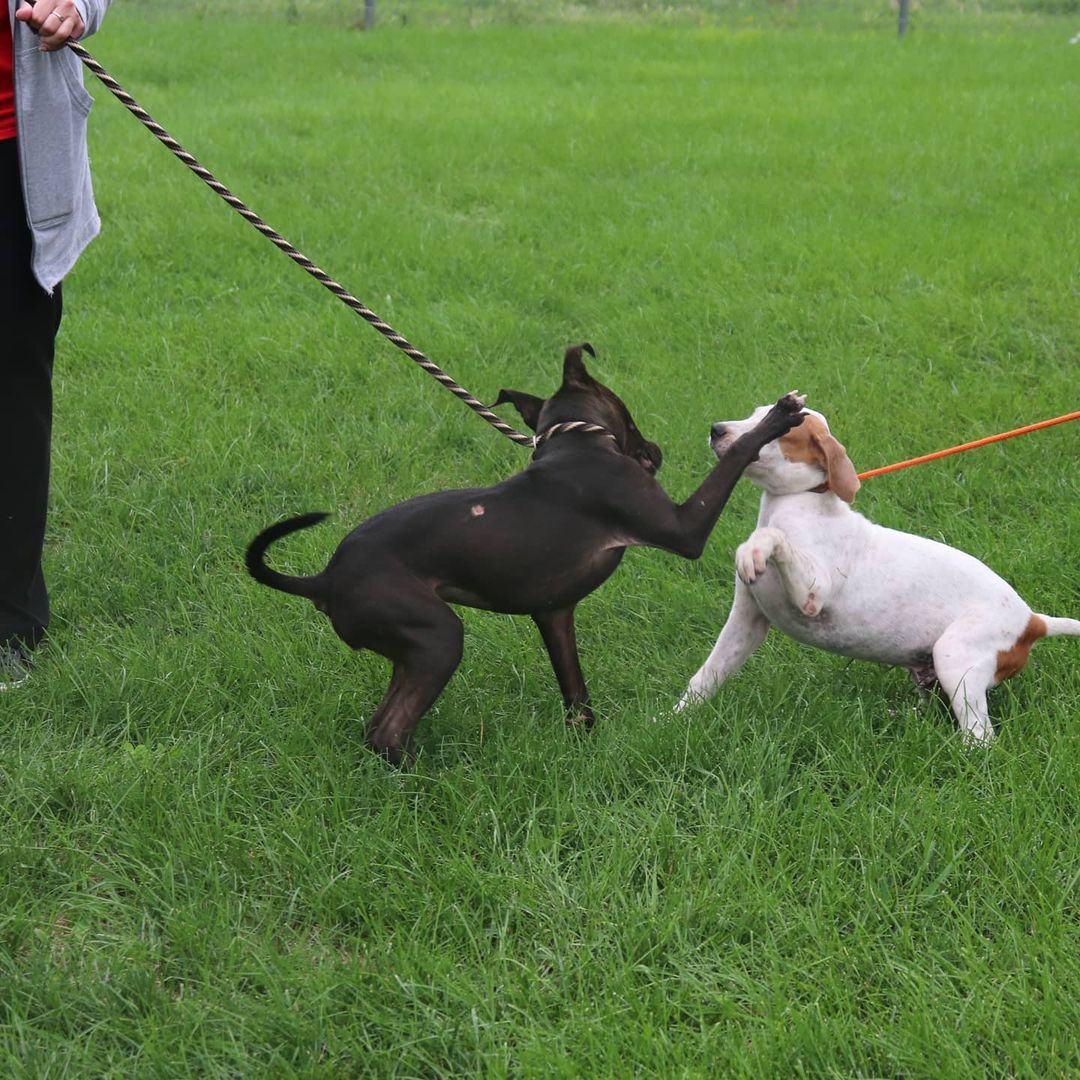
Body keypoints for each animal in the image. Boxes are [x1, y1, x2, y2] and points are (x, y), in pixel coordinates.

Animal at [245, 343, 803, 760]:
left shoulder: (554, 614)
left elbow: (576, 696)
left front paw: (585, 747)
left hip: (412, 649)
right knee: (387, 730)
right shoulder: (684, 529)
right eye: (625, 409)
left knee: (380, 726)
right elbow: (734, 456)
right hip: (438, 638)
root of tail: (324, 578)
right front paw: (776, 418)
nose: (657, 451)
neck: (578, 443)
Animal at [678, 406, 1075, 743]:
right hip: (935, 671)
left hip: (956, 659)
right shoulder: (747, 621)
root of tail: (1032, 620)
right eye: (755, 413)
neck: (798, 500)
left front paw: (753, 550)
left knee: (980, 737)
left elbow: (774, 539)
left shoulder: (812, 593)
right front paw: (672, 720)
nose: (716, 429)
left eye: (776, 426)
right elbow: (704, 678)